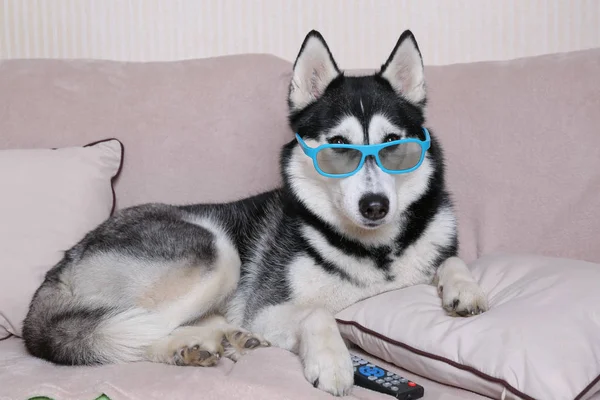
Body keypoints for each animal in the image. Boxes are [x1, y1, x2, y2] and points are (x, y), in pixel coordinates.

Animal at [25, 29, 490, 396]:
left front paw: (464, 289)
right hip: (215, 252)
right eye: (338, 146)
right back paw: (190, 346)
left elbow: (453, 260)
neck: (373, 252)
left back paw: (217, 341)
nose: (375, 205)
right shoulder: (266, 308)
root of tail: (61, 266)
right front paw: (334, 362)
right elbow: (319, 312)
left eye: (393, 143)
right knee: (133, 331)